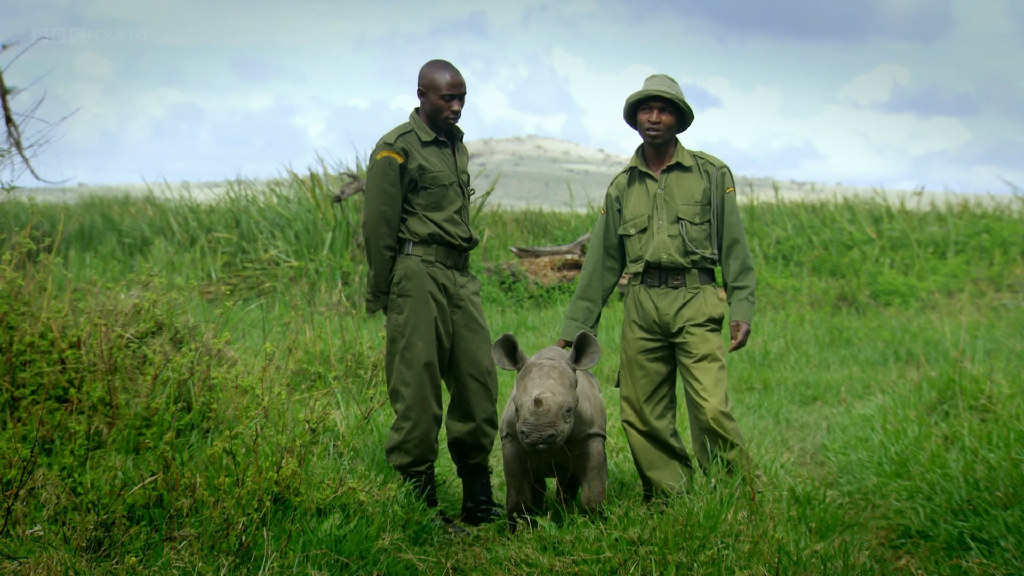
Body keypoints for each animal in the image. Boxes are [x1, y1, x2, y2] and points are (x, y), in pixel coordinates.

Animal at [489, 327, 602, 528]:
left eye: (569, 410)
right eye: (516, 408)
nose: (538, 436)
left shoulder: (592, 434)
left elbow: (593, 489)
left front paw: (596, 524)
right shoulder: (512, 438)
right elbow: (518, 494)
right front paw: (519, 530)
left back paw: (564, 510)